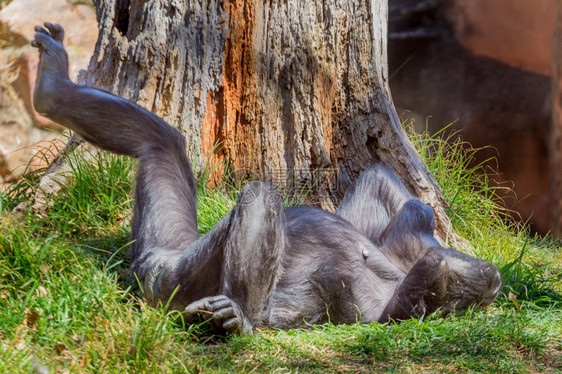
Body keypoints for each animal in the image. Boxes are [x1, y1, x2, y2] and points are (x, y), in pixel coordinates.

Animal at [32, 22, 500, 334]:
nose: (492, 278)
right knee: (164, 141)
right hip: (170, 255)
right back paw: (53, 86)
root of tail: (146, 270)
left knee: (183, 158)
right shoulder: (397, 246)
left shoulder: (364, 300)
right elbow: (394, 194)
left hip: (169, 267)